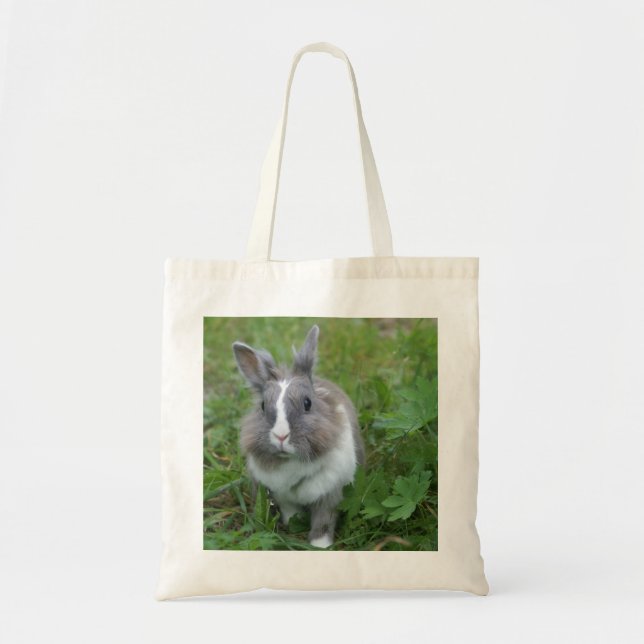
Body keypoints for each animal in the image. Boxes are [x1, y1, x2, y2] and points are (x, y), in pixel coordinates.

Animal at [232, 324, 365, 548]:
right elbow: (290, 512)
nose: (281, 436)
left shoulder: (331, 494)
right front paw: (295, 522)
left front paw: (320, 546)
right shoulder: (282, 496)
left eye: (307, 403)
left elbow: (323, 521)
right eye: (262, 406)